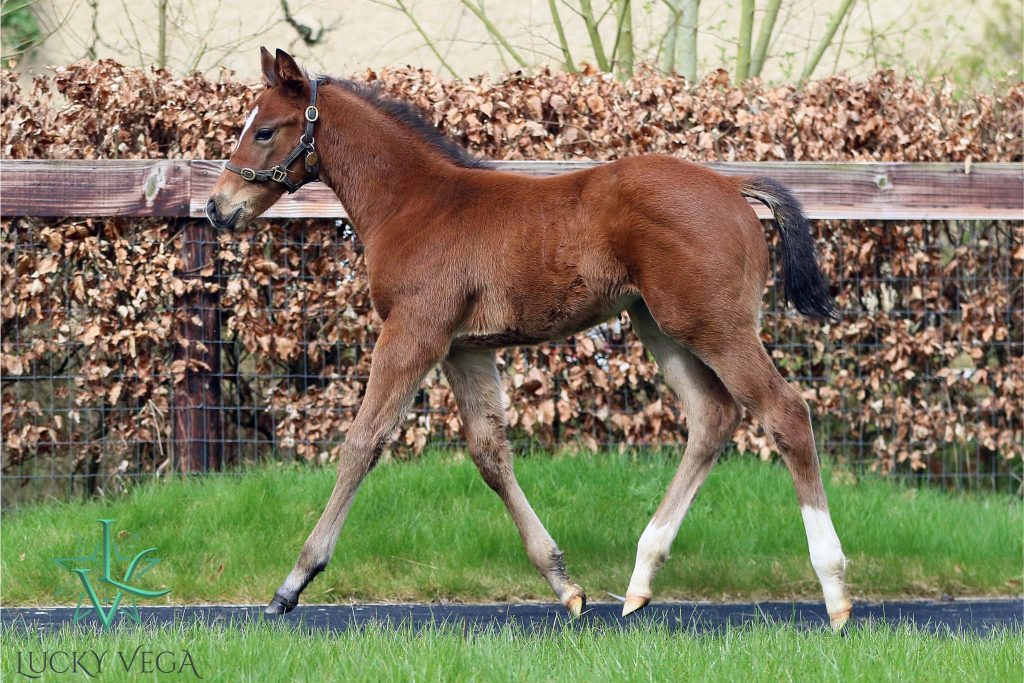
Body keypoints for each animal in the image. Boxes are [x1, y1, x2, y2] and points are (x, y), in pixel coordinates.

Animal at [203, 48, 851, 634]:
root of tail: (732, 185)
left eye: (264, 130)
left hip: (714, 325)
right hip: (660, 326)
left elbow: (363, 442)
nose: (216, 207)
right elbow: (490, 453)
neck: (414, 203)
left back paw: (836, 593)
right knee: (713, 416)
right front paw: (565, 584)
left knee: (784, 412)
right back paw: (640, 581)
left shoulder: (414, 331)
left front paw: (293, 584)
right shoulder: (465, 347)